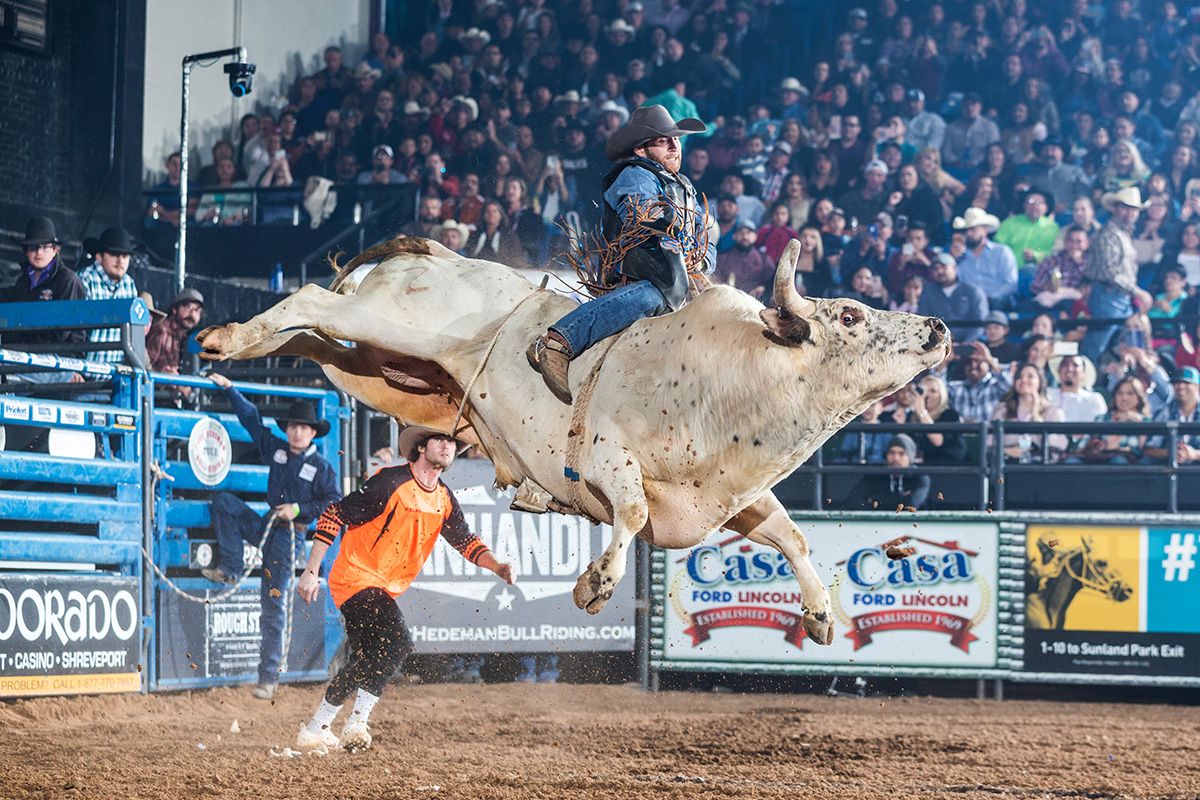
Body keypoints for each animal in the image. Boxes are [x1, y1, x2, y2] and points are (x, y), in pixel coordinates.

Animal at [194, 237, 945, 642]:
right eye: (849, 315)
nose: (938, 327)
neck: (740, 372)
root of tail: (437, 253)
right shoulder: (605, 457)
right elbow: (631, 509)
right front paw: (596, 582)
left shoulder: (726, 501)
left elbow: (790, 535)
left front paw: (818, 614)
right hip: (392, 327)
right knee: (315, 299)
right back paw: (221, 337)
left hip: (378, 371)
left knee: (315, 338)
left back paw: (234, 345)